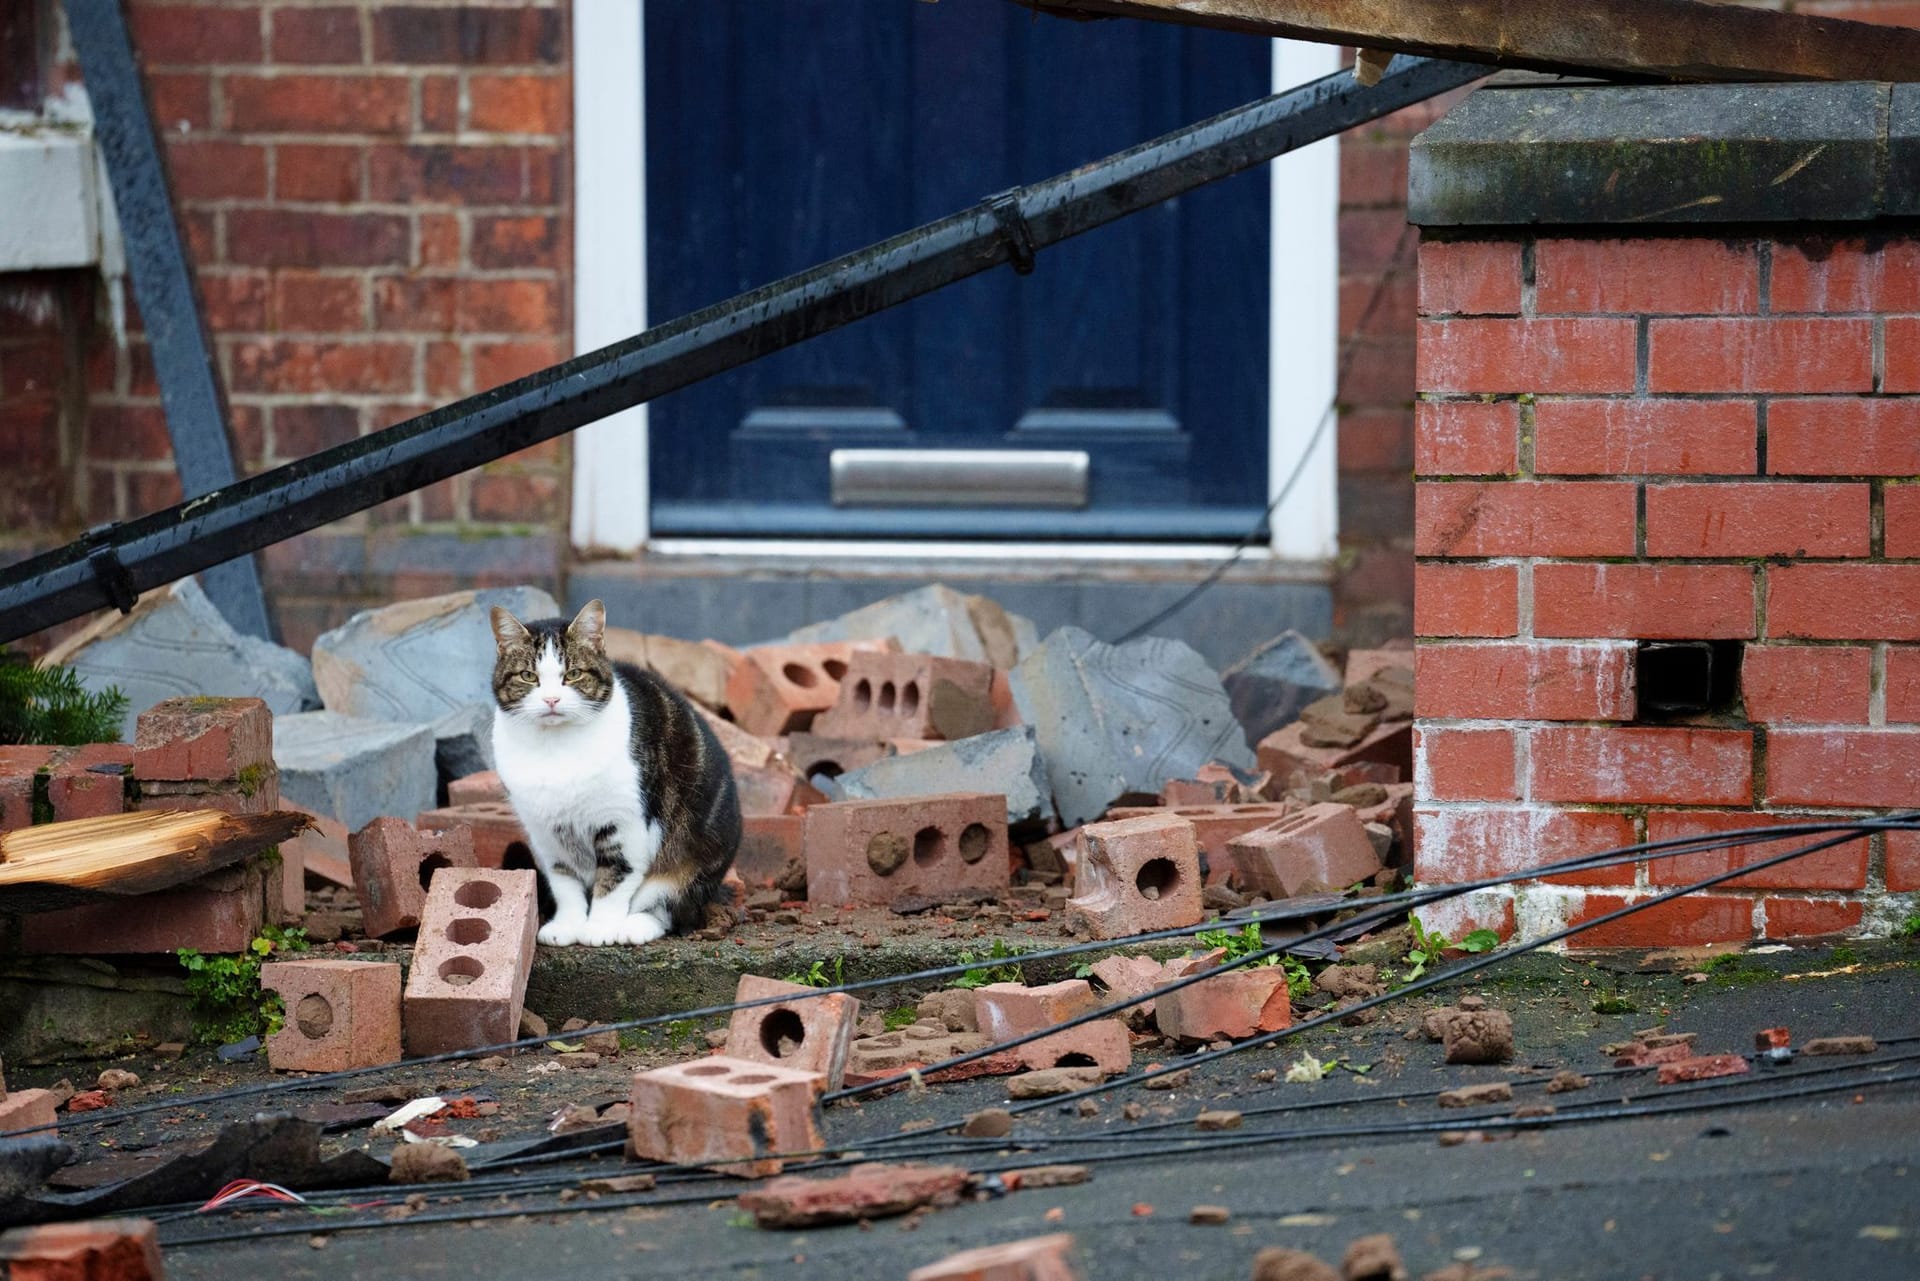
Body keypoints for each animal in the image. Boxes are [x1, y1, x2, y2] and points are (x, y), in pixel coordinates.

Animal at [491, 595, 737, 948]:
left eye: (573, 674)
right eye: (528, 676)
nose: (551, 699)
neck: (554, 748)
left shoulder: (625, 824)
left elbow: (616, 879)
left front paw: (600, 928)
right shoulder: (546, 833)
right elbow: (564, 881)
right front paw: (567, 924)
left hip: (695, 854)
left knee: (668, 905)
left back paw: (635, 925)